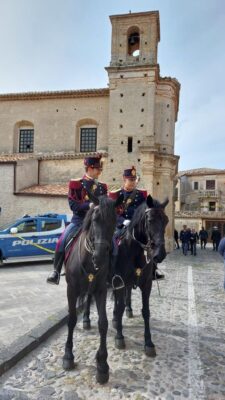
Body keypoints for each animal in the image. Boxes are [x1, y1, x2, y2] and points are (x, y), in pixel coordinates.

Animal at [62, 194, 123, 384]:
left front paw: (102, 364)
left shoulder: (101, 290)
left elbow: (103, 323)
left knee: (88, 299)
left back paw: (87, 319)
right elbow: (71, 319)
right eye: (95, 219)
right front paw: (68, 355)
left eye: (114, 220)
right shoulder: (71, 290)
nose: (100, 256)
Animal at [112, 195, 169, 354]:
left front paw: (149, 342)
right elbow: (119, 307)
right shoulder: (120, 281)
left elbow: (146, 311)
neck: (135, 250)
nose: (160, 254)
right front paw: (119, 337)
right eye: (150, 220)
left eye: (166, 220)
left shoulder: (146, 284)